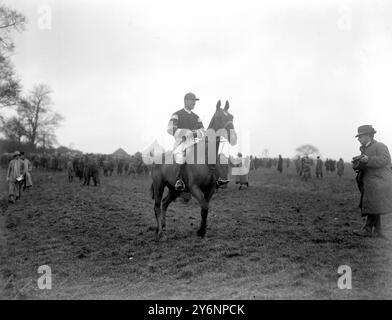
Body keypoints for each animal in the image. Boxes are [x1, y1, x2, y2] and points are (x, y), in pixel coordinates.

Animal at [149, 100, 236, 240]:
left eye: (232, 117)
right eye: (219, 117)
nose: (233, 137)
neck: (205, 158)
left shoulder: (210, 190)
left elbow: (205, 208)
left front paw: (201, 231)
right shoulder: (195, 188)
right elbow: (204, 206)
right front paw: (201, 231)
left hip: (174, 190)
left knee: (164, 203)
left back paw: (161, 226)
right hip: (159, 186)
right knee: (157, 206)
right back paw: (160, 233)